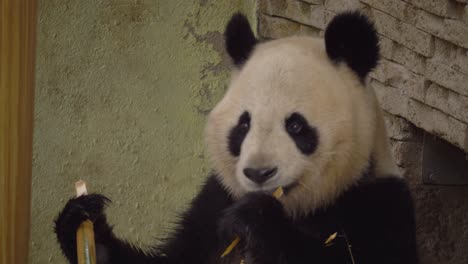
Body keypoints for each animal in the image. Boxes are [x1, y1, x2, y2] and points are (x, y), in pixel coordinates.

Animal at [54, 10, 416, 264]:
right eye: (243, 125)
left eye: (296, 126)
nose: (259, 173)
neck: (302, 207)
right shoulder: (212, 203)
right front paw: (82, 221)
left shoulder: (379, 204)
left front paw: (256, 220)